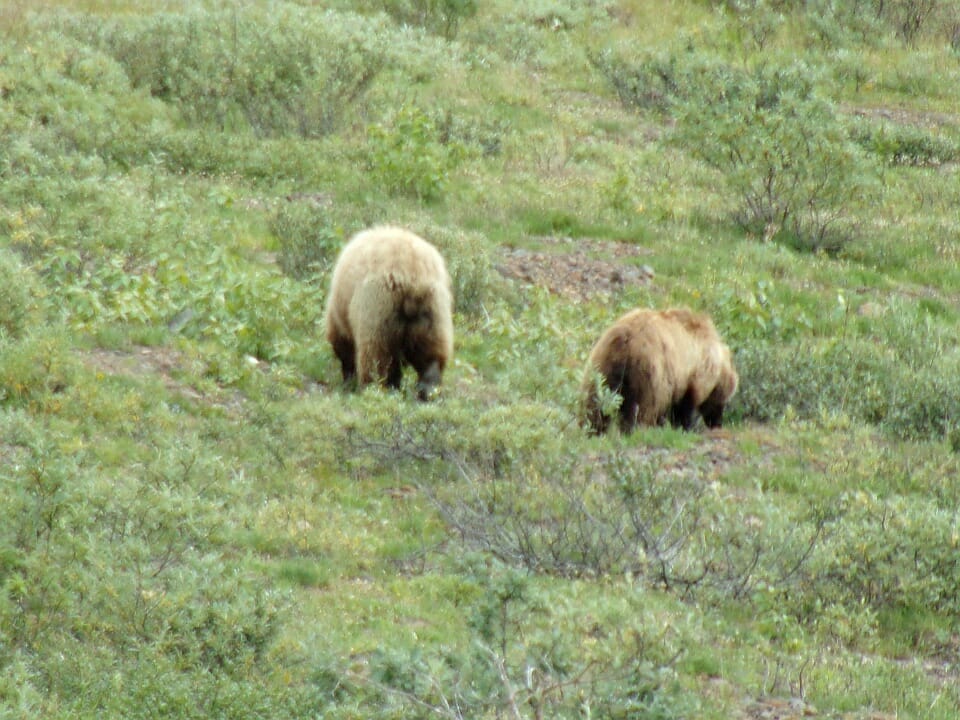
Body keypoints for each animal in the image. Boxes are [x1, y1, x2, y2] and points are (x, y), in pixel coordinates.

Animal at [326, 225, 454, 400]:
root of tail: (414, 283)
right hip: (433, 313)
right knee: (431, 355)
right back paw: (428, 392)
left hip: (378, 308)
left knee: (375, 356)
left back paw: (372, 388)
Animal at [580, 308, 740, 434]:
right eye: (724, 399)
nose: (717, 423)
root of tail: (624, 343)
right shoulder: (693, 373)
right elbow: (685, 405)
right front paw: (684, 427)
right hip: (650, 372)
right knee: (644, 407)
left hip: (601, 367)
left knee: (594, 404)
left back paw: (593, 430)